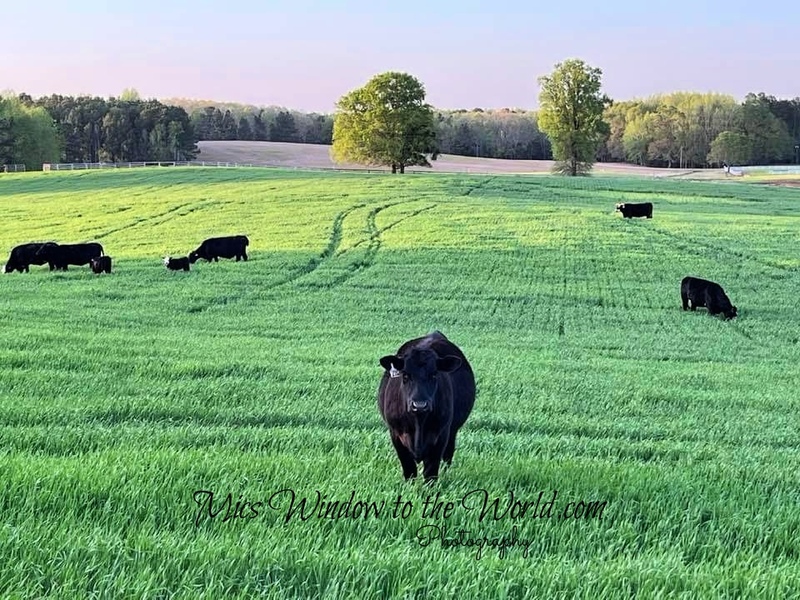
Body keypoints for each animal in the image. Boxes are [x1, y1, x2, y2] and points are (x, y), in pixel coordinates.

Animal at [377, 331, 476, 482]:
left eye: (434, 375)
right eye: (405, 376)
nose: (419, 405)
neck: (419, 423)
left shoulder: (441, 435)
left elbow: (431, 471)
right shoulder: (395, 434)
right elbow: (409, 468)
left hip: (452, 431)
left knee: (448, 457)